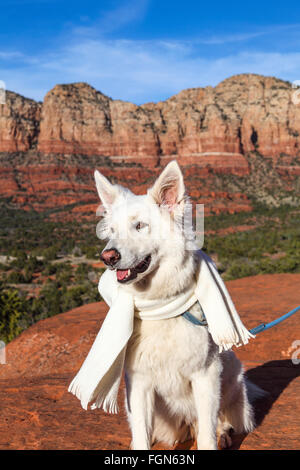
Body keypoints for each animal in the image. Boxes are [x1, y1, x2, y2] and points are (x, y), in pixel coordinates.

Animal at [78, 162, 264, 452]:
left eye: (140, 226)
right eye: (112, 232)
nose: (107, 257)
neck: (160, 304)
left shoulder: (206, 375)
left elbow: (207, 435)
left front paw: (214, 438)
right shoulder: (139, 382)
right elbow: (141, 435)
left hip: (233, 380)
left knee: (217, 422)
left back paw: (223, 434)